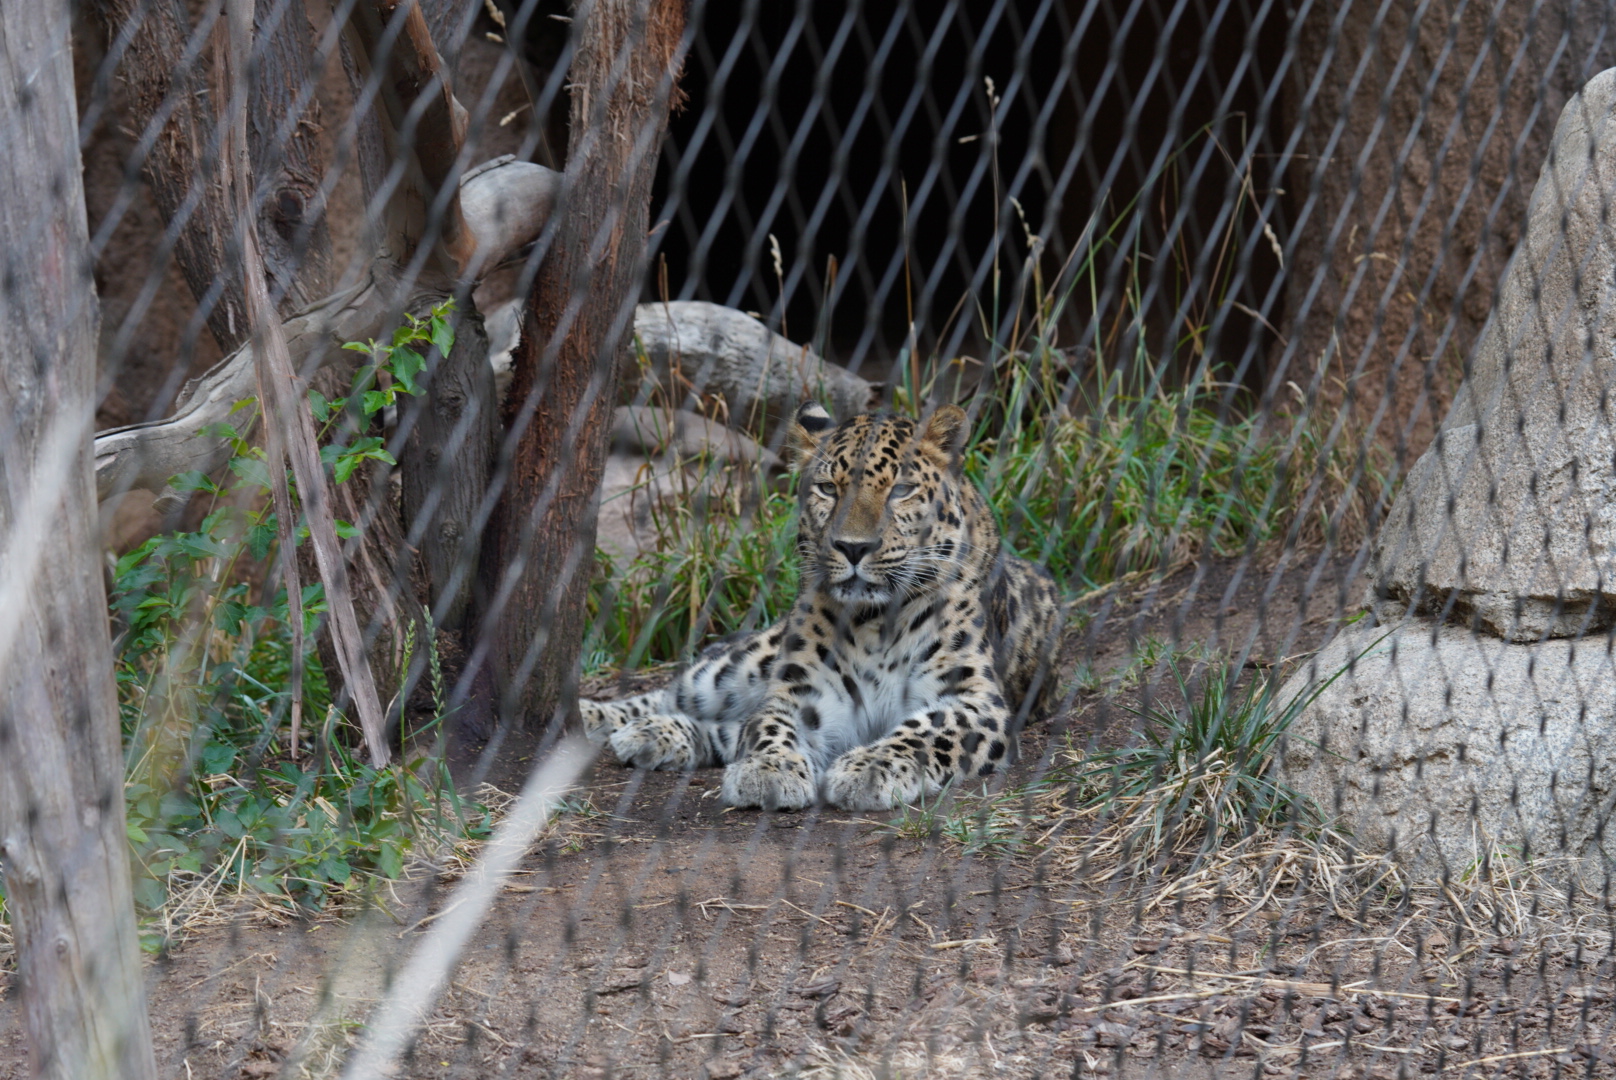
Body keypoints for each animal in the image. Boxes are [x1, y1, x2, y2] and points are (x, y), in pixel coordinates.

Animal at [578, 400, 1063, 811]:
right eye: (829, 488)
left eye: (901, 490)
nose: (853, 547)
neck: (877, 620)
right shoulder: (803, 690)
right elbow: (768, 726)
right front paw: (769, 768)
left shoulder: (977, 702)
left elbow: (925, 732)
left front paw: (870, 768)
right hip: (747, 663)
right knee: (682, 690)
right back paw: (600, 717)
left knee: (725, 724)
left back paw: (652, 734)